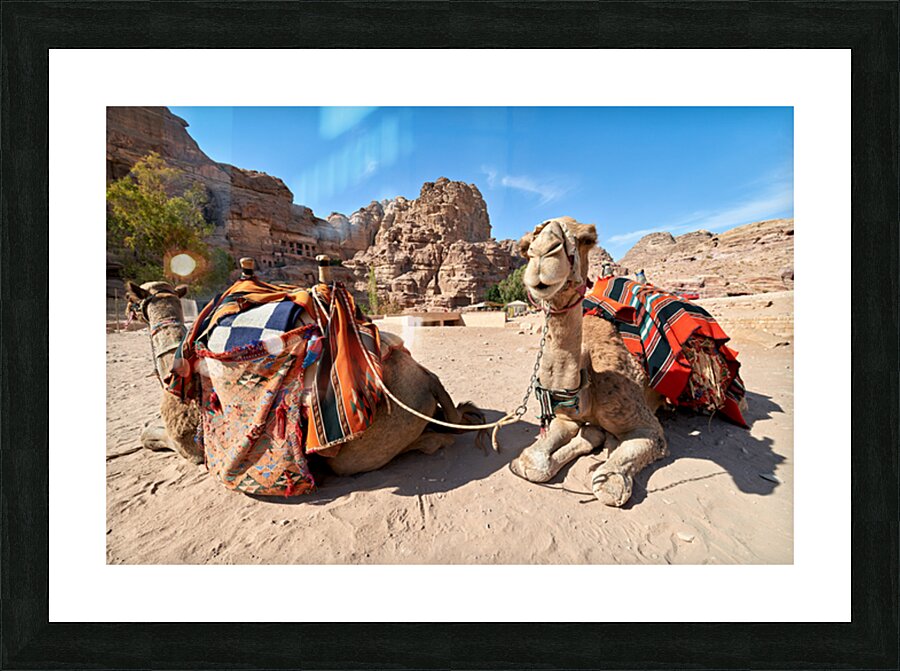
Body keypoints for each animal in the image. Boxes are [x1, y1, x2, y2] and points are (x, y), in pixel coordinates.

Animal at [126, 276, 483, 481]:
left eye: (132, 300)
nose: (127, 312)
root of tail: (427, 378)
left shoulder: (190, 448)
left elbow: (150, 436)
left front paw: (144, 430)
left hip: (361, 450)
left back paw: (439, 439)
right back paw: (465, 413)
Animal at [509, 217, 668, 507]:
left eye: (587, 238)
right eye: (525, 247)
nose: (544, 254)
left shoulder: (648, 426)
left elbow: (608, 486)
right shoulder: (565, 417)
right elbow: (532, 463)